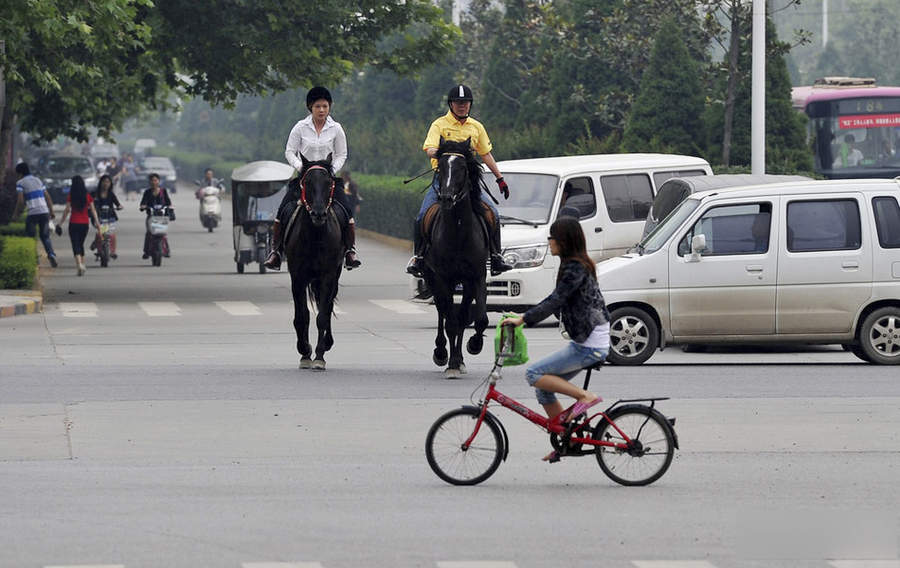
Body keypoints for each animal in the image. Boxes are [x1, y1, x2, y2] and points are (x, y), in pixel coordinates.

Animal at [286, 153, 346, 370]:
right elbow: (301, 316)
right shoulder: (297, 277)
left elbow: (322, 315)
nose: (318, 213)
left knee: (326, 308)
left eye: (328, 183)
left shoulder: (328, 275)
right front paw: (305, 351)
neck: (315, 236)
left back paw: (327, 344)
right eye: (307, 182)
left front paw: (319, 356)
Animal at [424, 138, 488, 378]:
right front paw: (450, 362)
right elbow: (450, 320)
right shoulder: (442, 277)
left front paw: (473, 346)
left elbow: (477, 318)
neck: (459, 232)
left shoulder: (477, 277)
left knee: (459, 314)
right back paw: (442, 352)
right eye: (441, 167)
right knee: (443, 312)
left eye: (462, 168)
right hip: (433, 278)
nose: (446, 198)